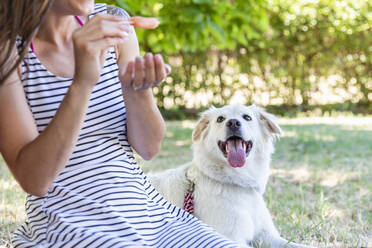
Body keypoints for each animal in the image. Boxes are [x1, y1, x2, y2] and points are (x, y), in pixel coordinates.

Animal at [150, 105, 312, 248]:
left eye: (247, 117)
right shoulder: (230, 238)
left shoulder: (266, 235)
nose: (233, 123)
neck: (239, 183)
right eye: (220, 119)